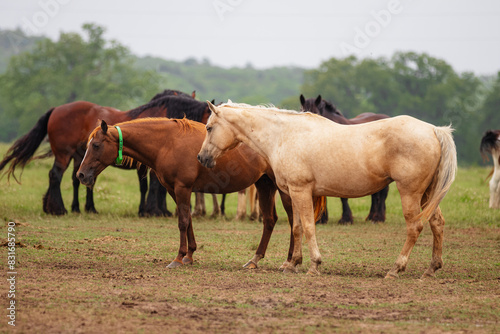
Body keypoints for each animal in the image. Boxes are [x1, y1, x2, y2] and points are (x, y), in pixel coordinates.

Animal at [0, 92, 210, 217]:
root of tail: (56, 109)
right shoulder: (148, 165)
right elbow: (154, 187)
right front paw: (153, 211)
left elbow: (152, 187)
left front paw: (153, 210)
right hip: (63, 155)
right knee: (55, 176)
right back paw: (58, 209)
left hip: (79, 158)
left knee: (78, 179)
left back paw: (82, 208)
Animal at [77, 118, 324, 270]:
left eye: (96, 145)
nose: (81, 175)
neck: (166, 142)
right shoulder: (175, 190)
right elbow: (188, 220)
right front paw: (189, 255)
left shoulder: (182, 188)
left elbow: (182, 222)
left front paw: (178, 258)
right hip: (265, 186)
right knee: (270, 221)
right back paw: (255, 260)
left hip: (284, 191)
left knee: (293, 222)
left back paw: (290, 261)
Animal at [300, 94, 390, 224]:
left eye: (316, 114)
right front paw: (321, 218)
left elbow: (343, 197)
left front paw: (346, 218)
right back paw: (371, 217)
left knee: (382, 193)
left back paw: (378, 218)